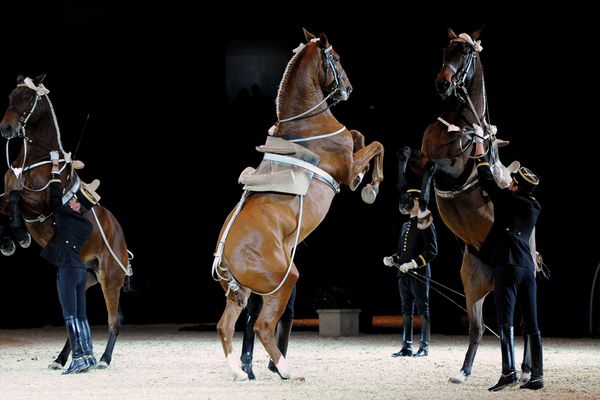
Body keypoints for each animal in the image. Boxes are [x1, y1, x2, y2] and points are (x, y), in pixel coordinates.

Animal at [0, 74, 131, 368]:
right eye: (10, 95)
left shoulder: (43, 205)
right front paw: (8, 242)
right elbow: (3, 204)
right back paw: (62, 359)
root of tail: (121, 239)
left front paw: (21, 236)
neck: (35, 159)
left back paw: (103, 359)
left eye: (27, 98)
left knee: (114, 320)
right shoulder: (8, 196)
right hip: (86, 278)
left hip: (110, 278)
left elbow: (14, 199)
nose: (6, 128)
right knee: (75, 317)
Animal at [213, 29, 384, 380]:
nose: (348, 89)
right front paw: (371, 185)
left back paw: (239, 372)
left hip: (241, 293)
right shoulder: (347, 168)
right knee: (262, 326)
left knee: (226, 326)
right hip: (284, 279)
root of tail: (224, 254)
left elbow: (360, 135)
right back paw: (285, 370)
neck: (305, 127)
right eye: (337, 58)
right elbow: (374, 145)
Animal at [400, 28, 536, 384]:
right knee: (481, 327)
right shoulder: (422, 154)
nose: (442, 83)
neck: (459, 123)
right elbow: (409, 156)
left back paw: (525, 370)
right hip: (474, 284)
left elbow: (433, 169)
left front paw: (424, 206)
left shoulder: (455, 170)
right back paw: (465, 371)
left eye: (465, 53)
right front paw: (407, 195)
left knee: (522, 324)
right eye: (445, 49)